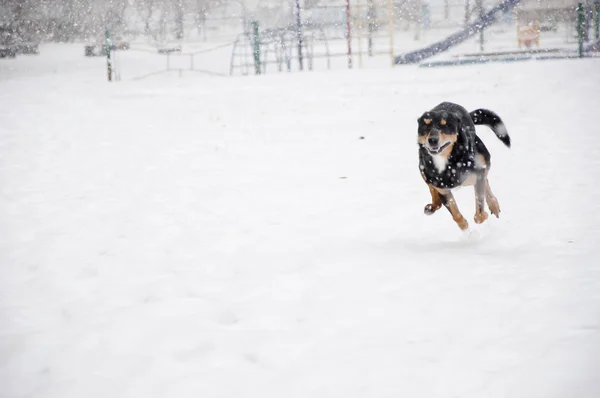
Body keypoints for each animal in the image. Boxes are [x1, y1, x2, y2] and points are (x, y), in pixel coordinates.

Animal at [418, 102, 510, 230]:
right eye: (425, 125)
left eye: (445, 125)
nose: (432, 140)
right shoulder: (443, 190)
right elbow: (455, 214)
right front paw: (465, 226)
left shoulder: (478, 174)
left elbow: (479, 214)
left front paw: (484, 214)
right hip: (423, 170)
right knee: (432, 189)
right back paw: (433, 206)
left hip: (483, 157)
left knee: (485, 179)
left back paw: (493, 204)